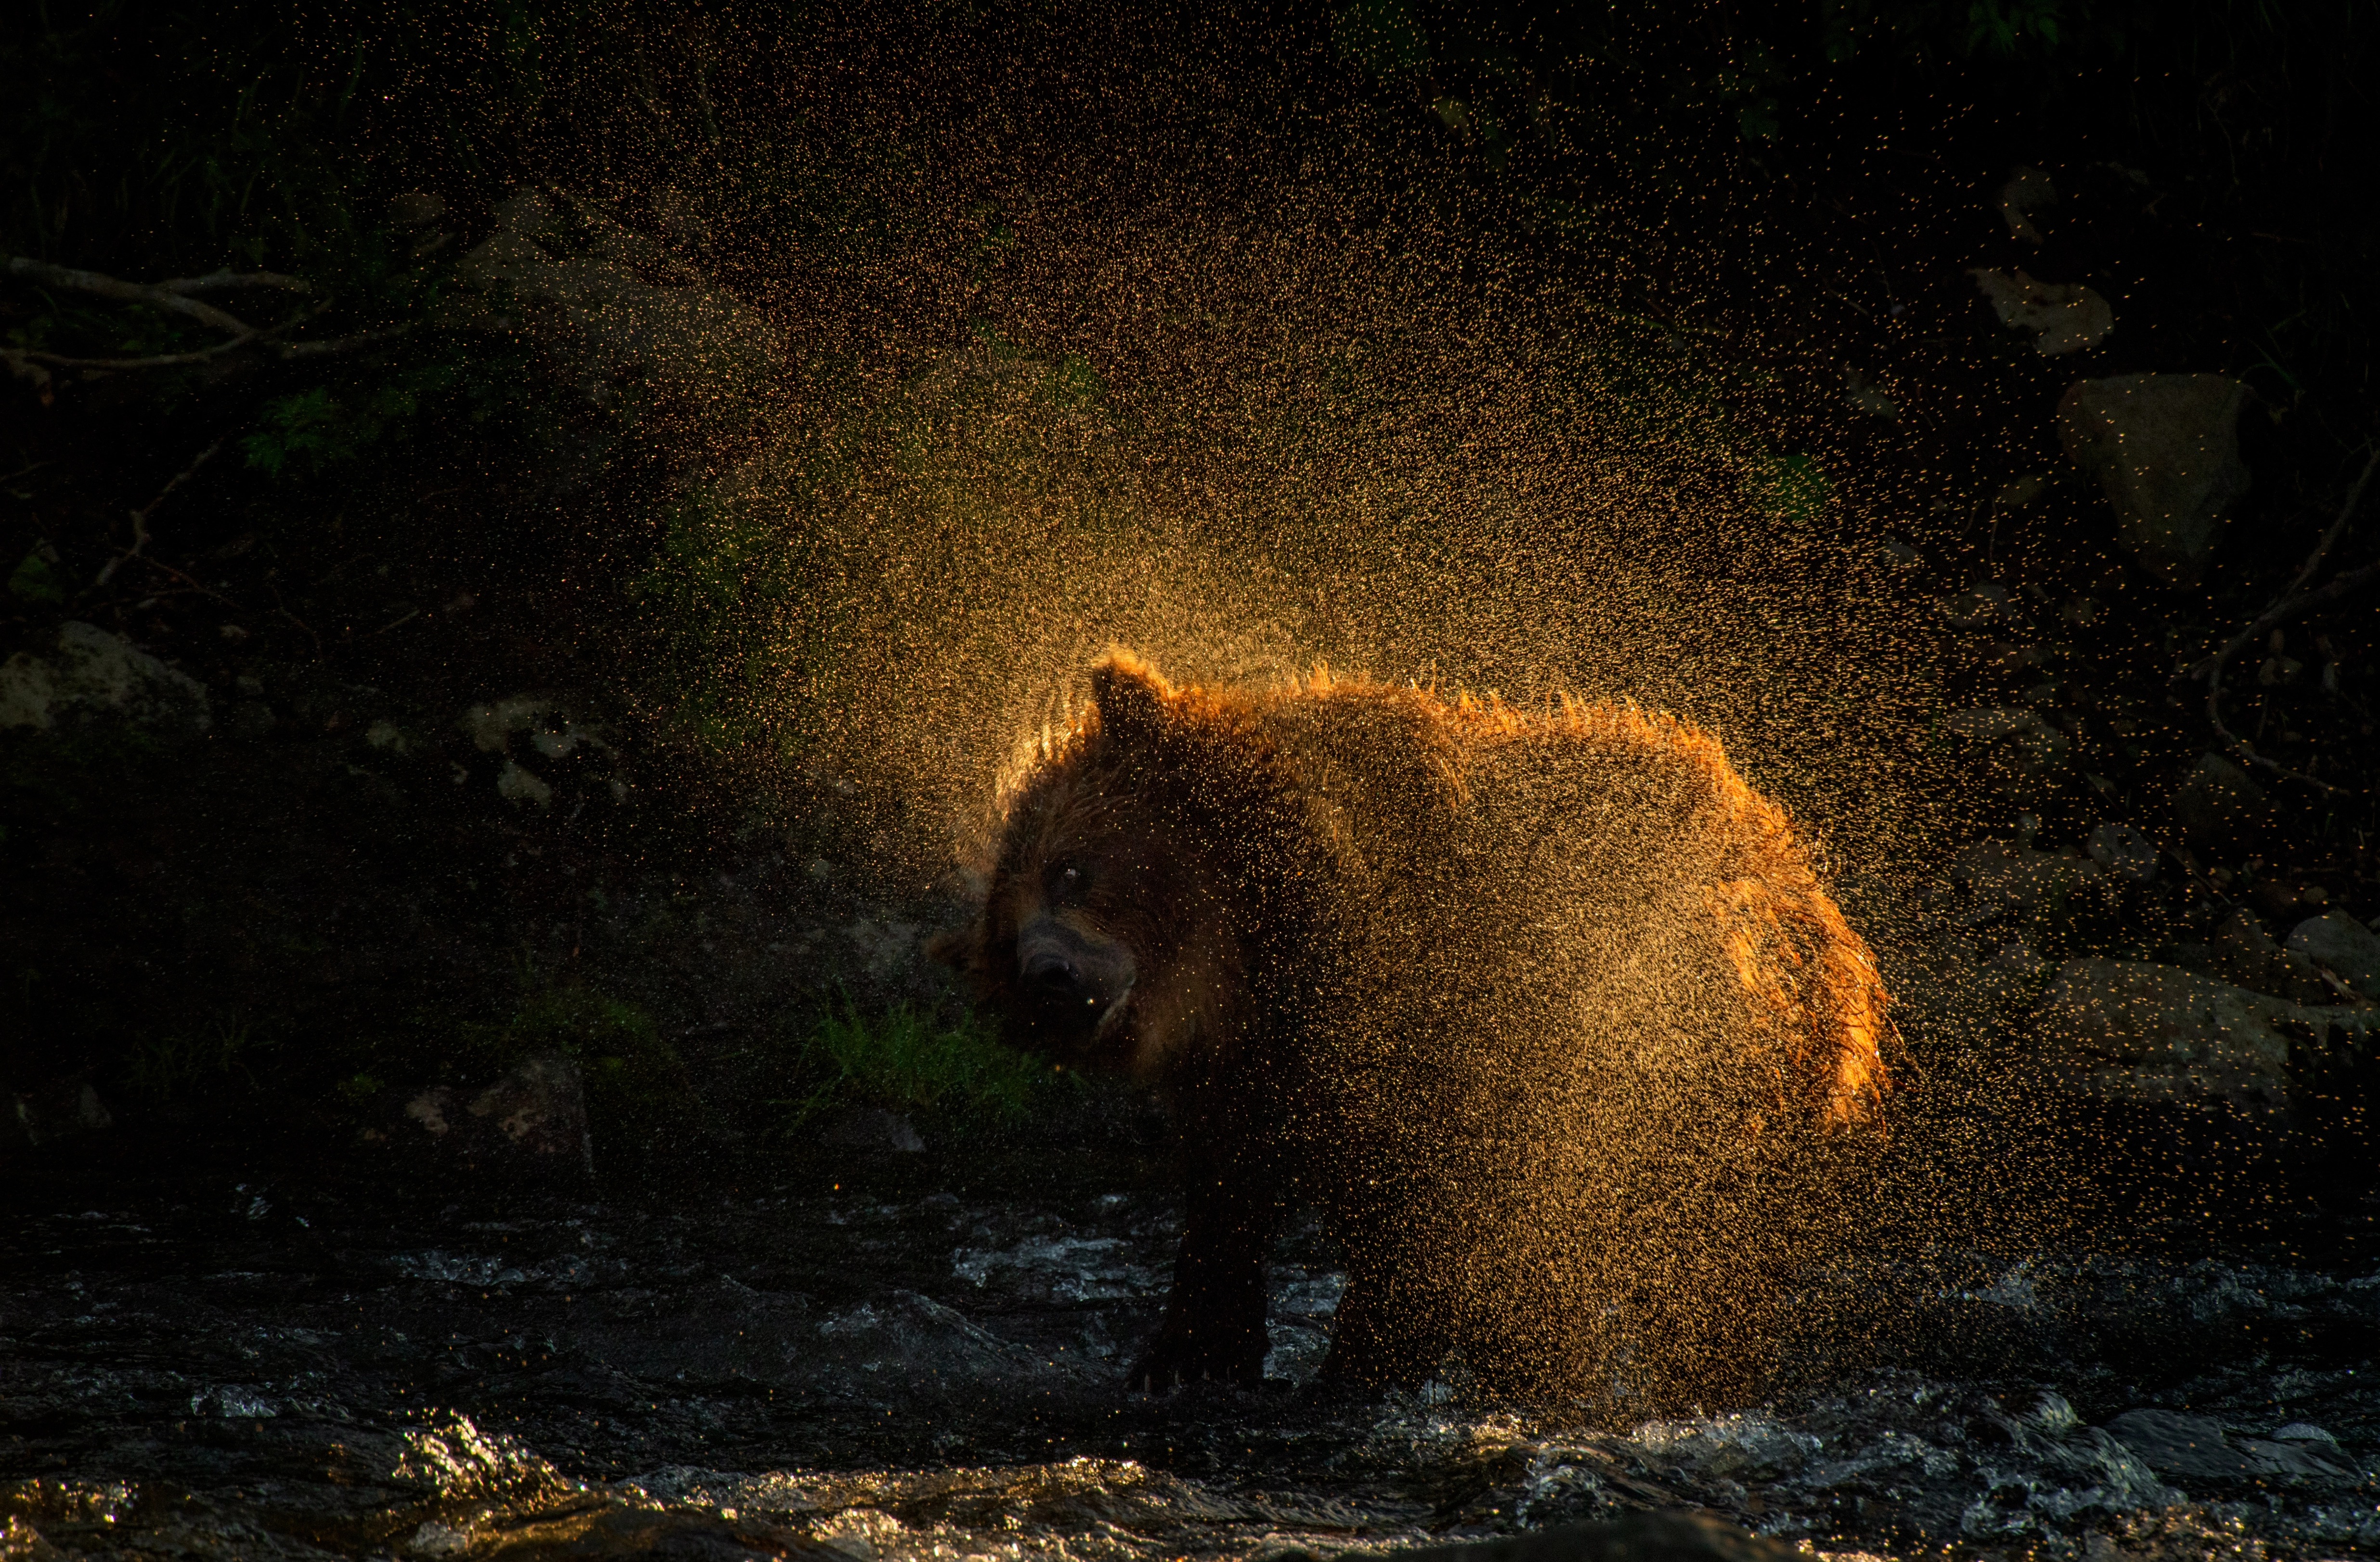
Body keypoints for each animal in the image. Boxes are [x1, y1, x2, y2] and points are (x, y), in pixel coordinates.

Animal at [937, 648, 1885, 1400]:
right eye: (1006, 934)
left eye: (1072, 867)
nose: (1049, 975)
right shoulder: (1260, 1075)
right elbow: (1228, 1198)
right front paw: (1184, 1357)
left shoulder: (1443, 1043)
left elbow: (1422, 1233)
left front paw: (1353, 1373)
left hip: (1715, 1091)